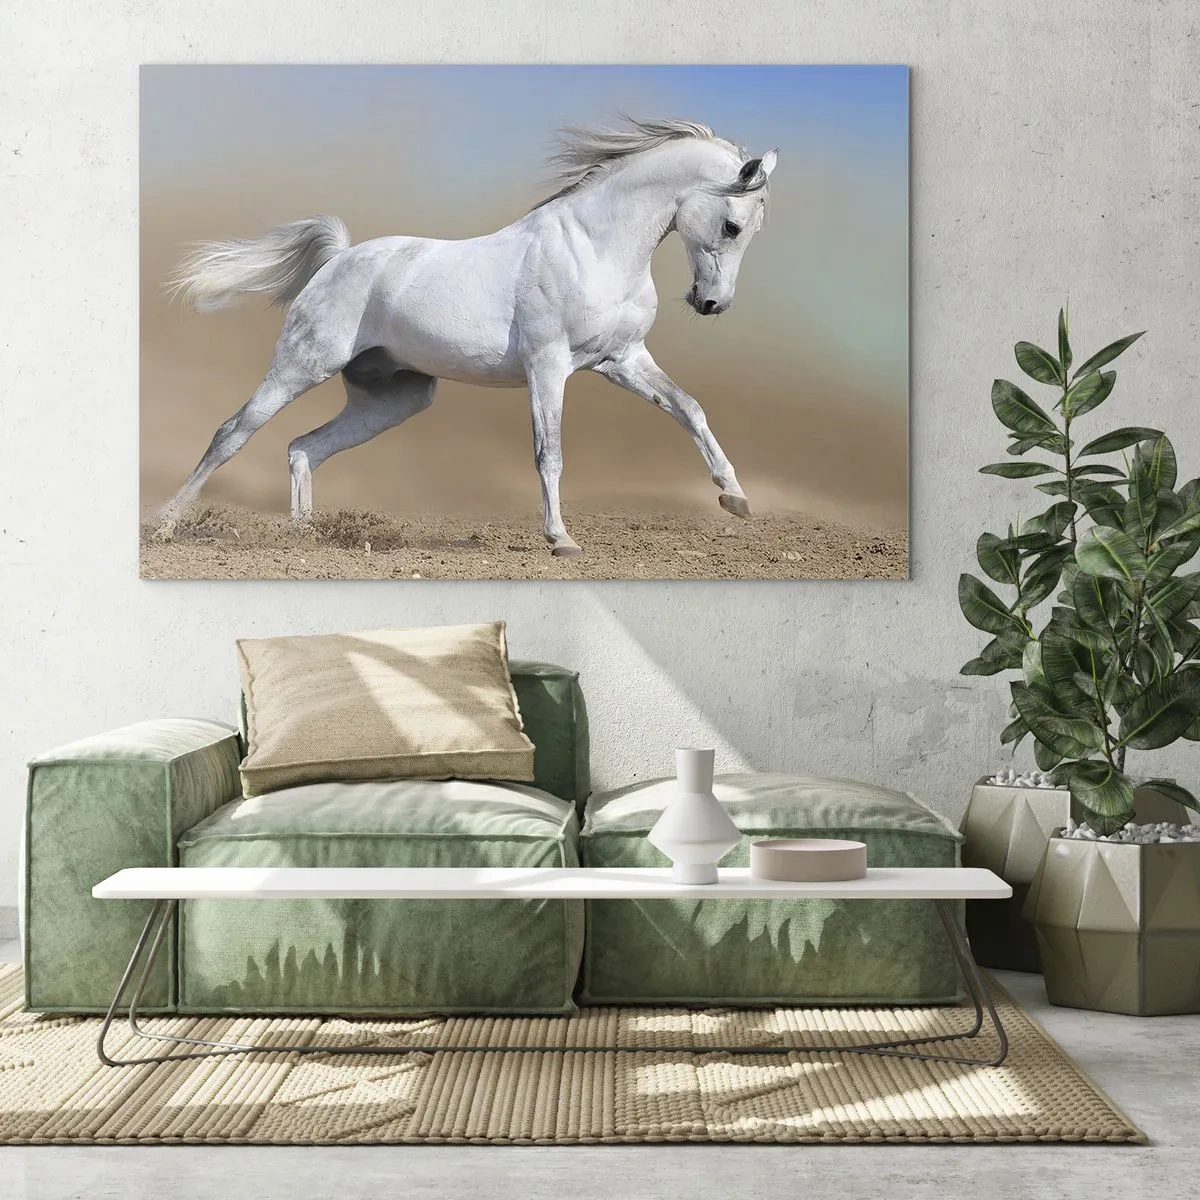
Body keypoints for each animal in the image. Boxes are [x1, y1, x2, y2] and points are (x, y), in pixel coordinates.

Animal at [161, 117, 778, 556]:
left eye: (752, 229)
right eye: (732, 225)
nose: (711, 303)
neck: (595, 247)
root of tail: (339, 258)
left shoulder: (622, 360)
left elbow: (689, 408)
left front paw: (736, 498)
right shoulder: (548, 366)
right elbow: (549, 452)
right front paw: (560, 540)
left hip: (395, 399)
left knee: (303, 448)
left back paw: (305, 536)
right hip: (301, 365)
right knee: (233, 433)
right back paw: (167, 524)